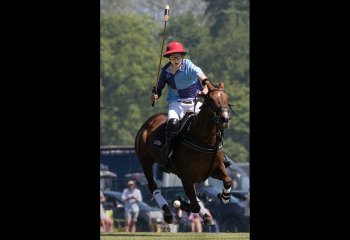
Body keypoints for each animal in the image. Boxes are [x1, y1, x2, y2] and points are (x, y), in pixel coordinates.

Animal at [134, 80, 232, 225]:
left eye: (227, 98)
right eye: (211, 100)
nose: (224, 119)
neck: (203, 140)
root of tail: (149, 121)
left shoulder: (216, 169)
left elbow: (228, 180)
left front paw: (224, 197)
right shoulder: (186, 176)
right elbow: (194, 205)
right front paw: (180, 203)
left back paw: (206, 215)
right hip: (145, 161)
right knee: (152, 185)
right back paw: (168, 213)